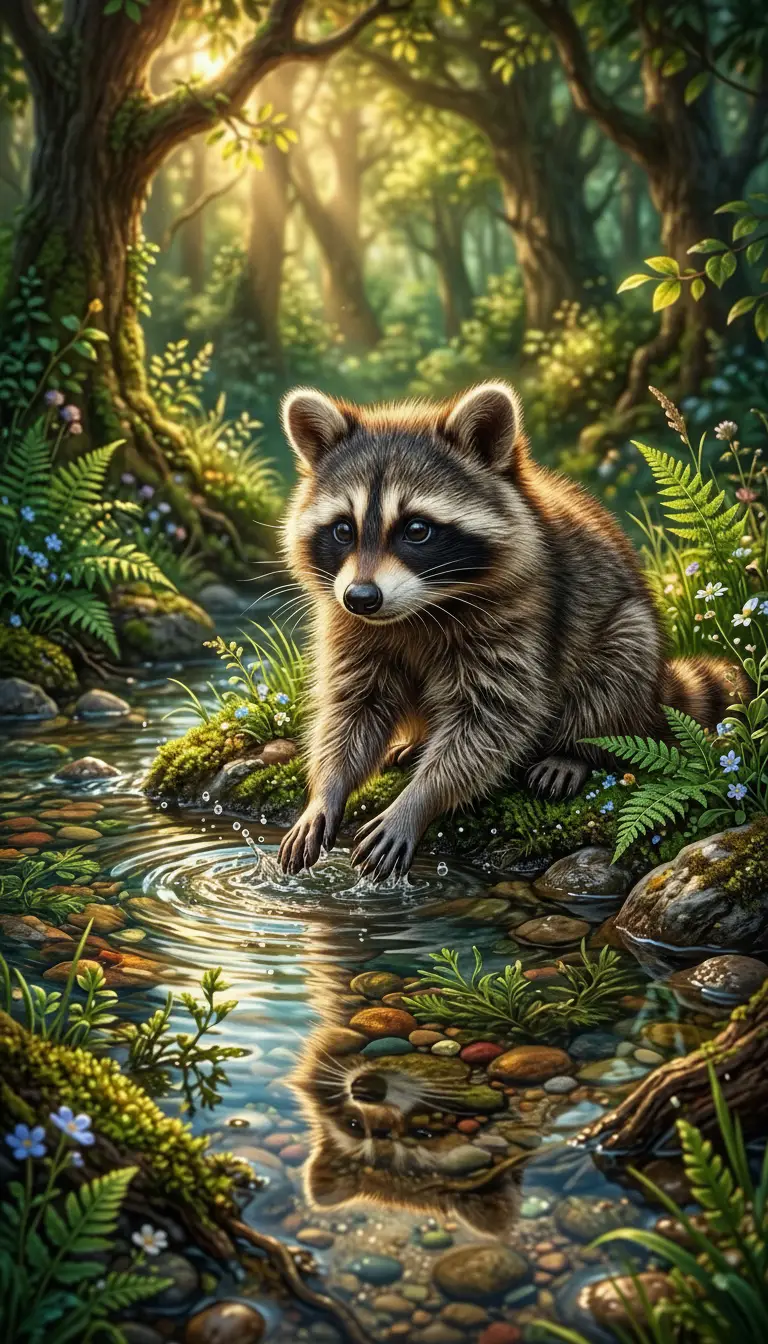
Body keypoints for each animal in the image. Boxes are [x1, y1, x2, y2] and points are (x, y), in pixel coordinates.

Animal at [278, 380, 743, 879]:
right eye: (343, 530)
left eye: (417, 529)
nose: (362, 598)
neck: (417, 609)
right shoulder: (349, 625)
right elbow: (352, 707)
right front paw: (326, 790)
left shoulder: (522, 613)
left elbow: (494, 719)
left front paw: (417, 802)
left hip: (628, 634)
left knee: (616, 665)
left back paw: (573, 749)